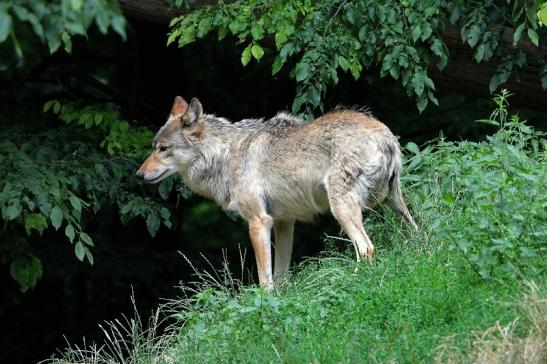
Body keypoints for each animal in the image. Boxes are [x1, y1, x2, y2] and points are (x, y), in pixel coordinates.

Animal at [138, 96, 420, 290]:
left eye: (163, 149)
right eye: (153, 147)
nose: (139, 175)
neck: (226, 155)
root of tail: (384, 136)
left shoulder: (259, 222)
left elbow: (265, 280)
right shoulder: (285, 222)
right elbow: (281, 275)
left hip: (342, 210)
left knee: (366, 248)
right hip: (395, 205)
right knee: (416, 233)